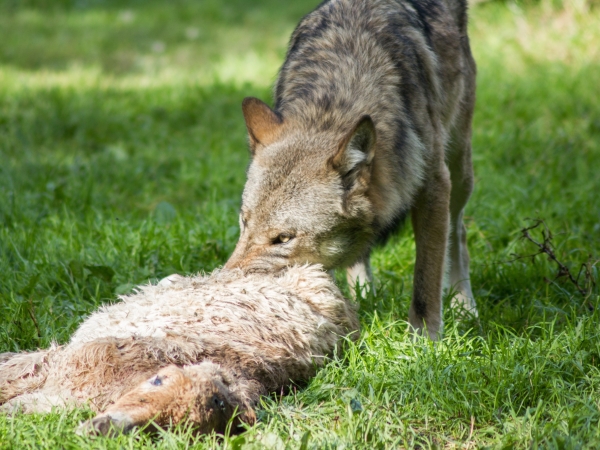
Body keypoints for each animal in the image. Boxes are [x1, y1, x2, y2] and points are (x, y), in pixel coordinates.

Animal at [225, 0, 478, 340]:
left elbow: (426, 282)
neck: (332, 103)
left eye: (283, 238)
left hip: (459, 168)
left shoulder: (433, 187)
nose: (224, 286)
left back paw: (464, 307)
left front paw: (423, 342)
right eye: (244, 222)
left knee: (457, 232)